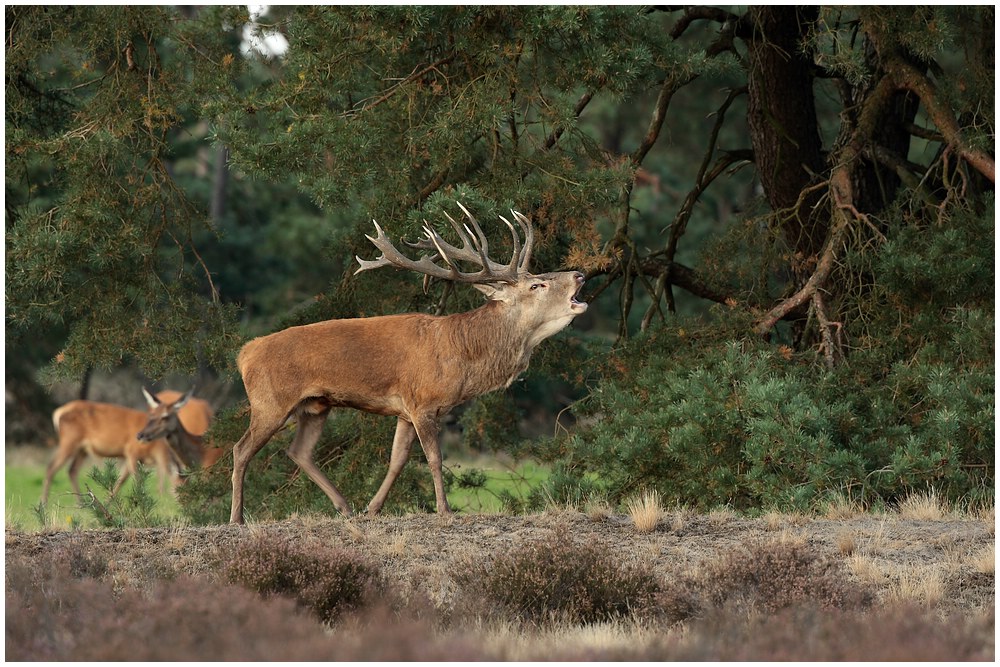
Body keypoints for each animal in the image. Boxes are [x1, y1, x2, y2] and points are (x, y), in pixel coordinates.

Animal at [44, 386, 215, 506]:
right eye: (181, 489)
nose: (189, 503)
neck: (156, 448)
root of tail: (58, 413)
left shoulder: (131, 457)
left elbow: (120, 480)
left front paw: (107, 504)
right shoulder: (132, 452)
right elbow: (137, 481)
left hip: (82, 449)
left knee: (71, 470)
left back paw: (81, 503)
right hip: (69, 440)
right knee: (51, 467)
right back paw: (44, 503)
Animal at [230, 204, 588, 520]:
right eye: (537, 284)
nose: (580, 274)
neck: (463, 360)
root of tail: (244, 354)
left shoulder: (405, 410)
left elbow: (398, 460)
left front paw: (373, 508)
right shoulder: (424, 402)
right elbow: (434, 458)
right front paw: (445, 510)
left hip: (316, 405)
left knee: (299, 451)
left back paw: (345, 507)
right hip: (270, 401)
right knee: (241, 449)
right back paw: (237, 517)